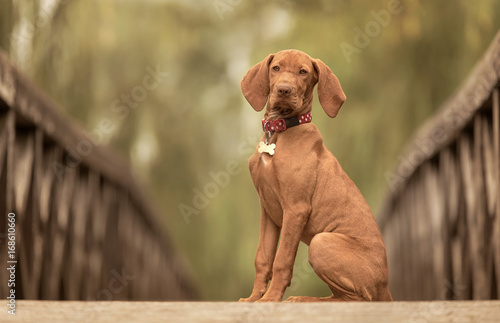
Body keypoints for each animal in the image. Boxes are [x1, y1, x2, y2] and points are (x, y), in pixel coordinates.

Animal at [237, 50, 390, 304]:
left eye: (303, 72)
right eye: (276, 68)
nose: (284, 90)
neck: (278, 131)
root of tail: (385, 288)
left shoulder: (296, 208)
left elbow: (282, 260)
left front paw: (270, 299)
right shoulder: (268, 209)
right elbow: (263, 258)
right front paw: (253, 299)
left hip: (321, 241)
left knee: (356, 299)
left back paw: (304, 299)